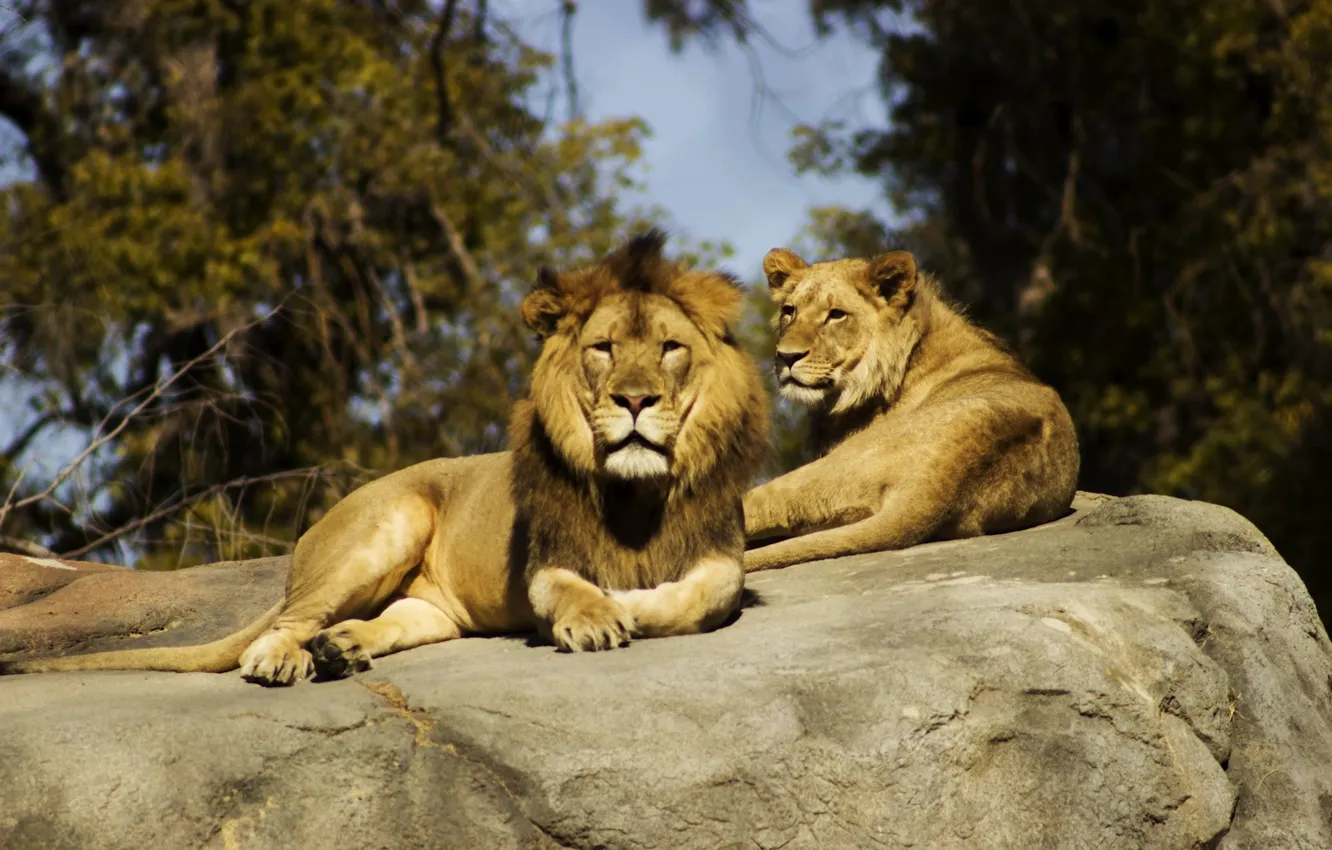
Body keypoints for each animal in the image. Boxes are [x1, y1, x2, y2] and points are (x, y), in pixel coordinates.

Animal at [1, 230, 770, 685]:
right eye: (604, 348)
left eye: (670, 348)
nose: (635, 399)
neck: (637, 491)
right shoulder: (545, 562)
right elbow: (571, 588)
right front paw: (600, 613)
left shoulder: (720, 554)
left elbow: (703, 595)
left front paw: (633, 602)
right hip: (386, 528)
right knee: (280, 627)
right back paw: (284, 658)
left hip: (432, 607)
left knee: (393, 619)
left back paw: (341, 648)